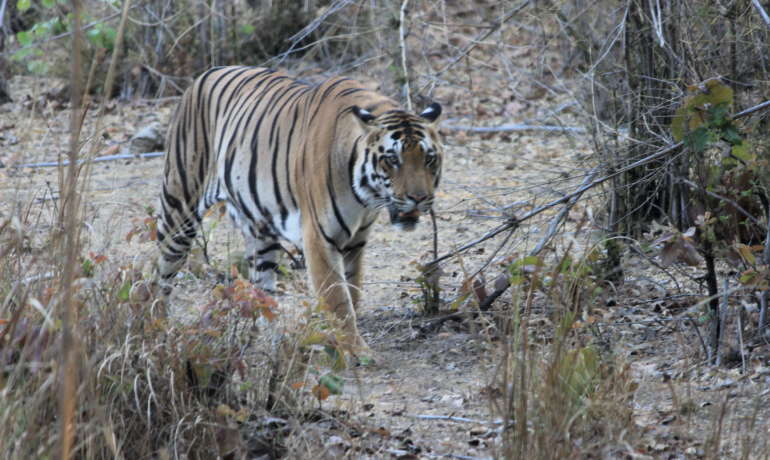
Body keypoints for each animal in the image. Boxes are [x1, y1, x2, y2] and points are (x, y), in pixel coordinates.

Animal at [154, 65, 444, 352]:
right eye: (392, 160)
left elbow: (353, 289)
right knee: (162, 277)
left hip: (261, 232)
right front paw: (356, 351)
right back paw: (157, 331)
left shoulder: (357, 241)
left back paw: (274, 341)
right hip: (180, 209)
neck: (366, 196)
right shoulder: (320, 238)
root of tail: (205, 73)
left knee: (263, 287)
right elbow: (338, 299)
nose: (418, 197)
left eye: (429, 159)